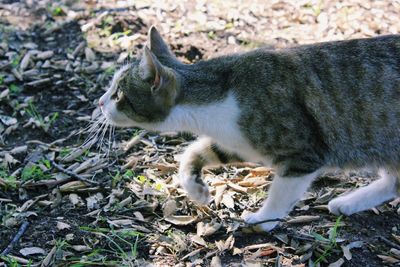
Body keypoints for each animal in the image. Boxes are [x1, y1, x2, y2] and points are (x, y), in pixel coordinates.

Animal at [99, 26, 400, 232]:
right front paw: (196, 188)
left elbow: (282, 192)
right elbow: (194, 152)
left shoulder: (303, 153)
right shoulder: (237, 141)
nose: (100, 102)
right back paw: (350, 202)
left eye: (118, 94)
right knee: (394, 182)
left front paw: (264, 219)